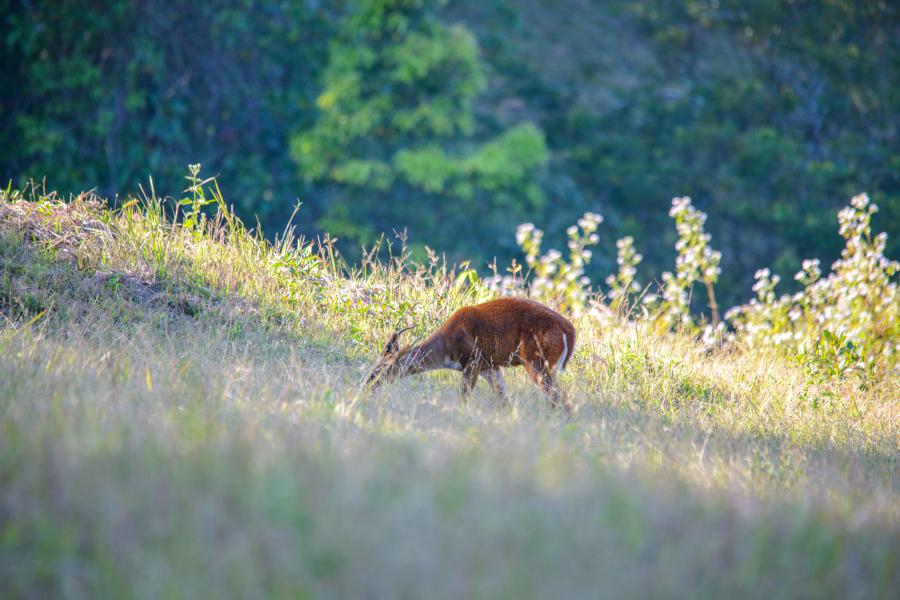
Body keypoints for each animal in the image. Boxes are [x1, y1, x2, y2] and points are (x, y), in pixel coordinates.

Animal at [366, 297, 576, 410]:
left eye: (384, 365)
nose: (369, 383)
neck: (447, 346)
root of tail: (570, 331)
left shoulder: (473, 361)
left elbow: (464, 396)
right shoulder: (489, 366)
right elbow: (503, 398)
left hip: (536, 360)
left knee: (558, 397)